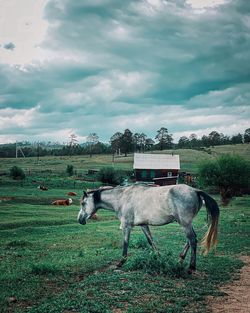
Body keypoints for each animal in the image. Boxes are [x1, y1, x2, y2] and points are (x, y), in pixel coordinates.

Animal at [77, 183, 219, 270]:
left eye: (83, 203)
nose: (79, 219)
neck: (122, 198)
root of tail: (195, 190)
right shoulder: (143, 225)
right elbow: (150, 240)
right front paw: (159, 257)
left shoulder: (126, 226)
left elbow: (125, 243)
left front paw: (121, 262)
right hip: (185, 223)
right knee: (190, 240)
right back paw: (180, 260)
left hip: (185, 223)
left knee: (192, 240)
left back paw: (191, 267)